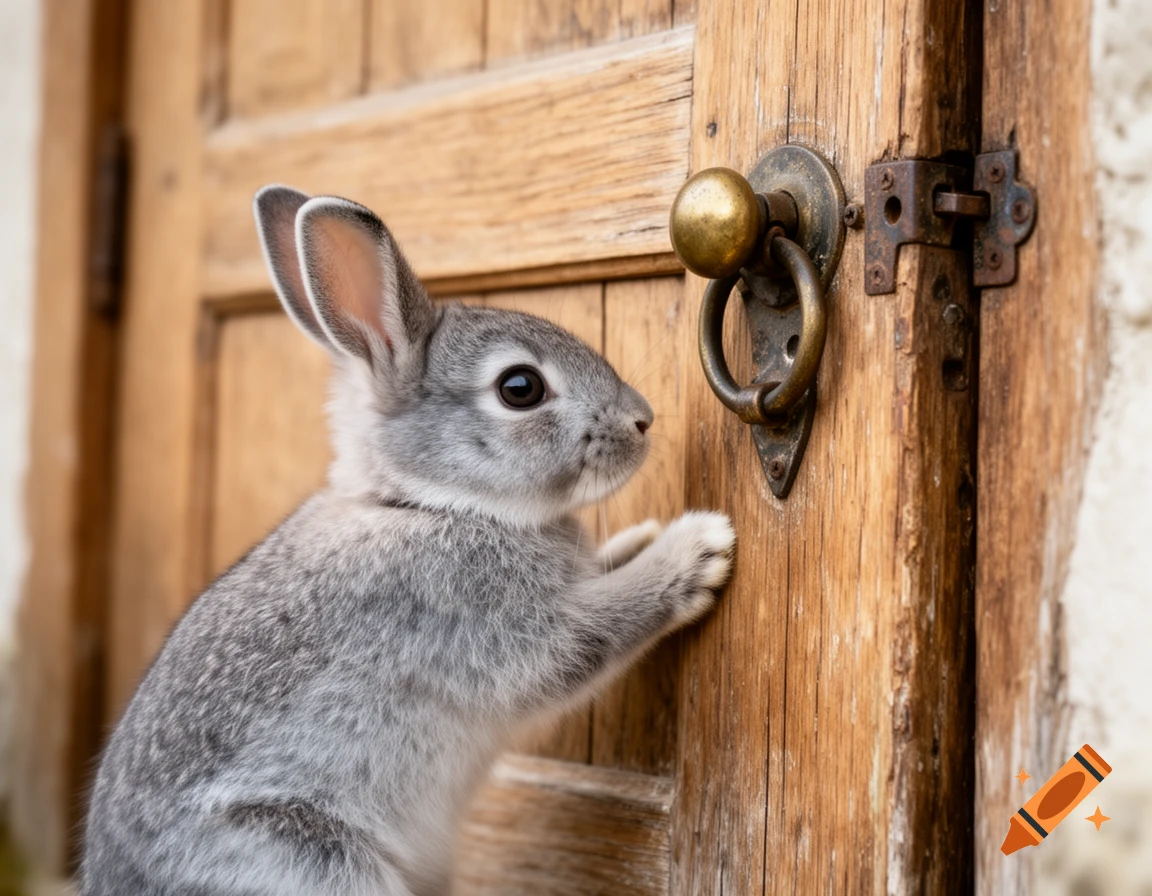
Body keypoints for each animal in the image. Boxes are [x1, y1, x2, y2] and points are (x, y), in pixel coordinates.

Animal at [80, 186, 736, 896]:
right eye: (521, 388)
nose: (642, 419)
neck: (424, 501)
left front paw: (645, 536)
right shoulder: (487, 625)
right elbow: (598, 627)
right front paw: (698, 544)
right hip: (313, 860)